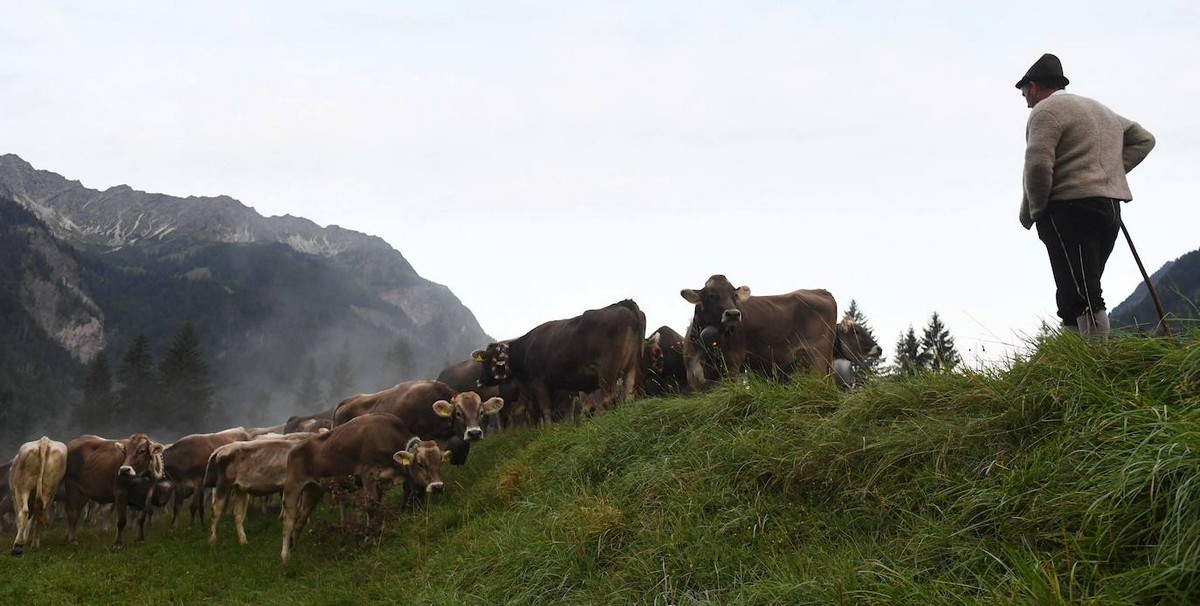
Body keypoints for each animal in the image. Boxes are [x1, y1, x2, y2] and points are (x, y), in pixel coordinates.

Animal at [280, 412, 451, 564]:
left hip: (313, 490)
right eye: (421, 464)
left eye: (440, 462)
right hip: (293, 486)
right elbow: (370, 506)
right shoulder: (368, 474)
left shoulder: (379, 482)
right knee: (289, 520)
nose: (437, 486)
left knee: (302, 518)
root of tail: (295, 448)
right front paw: (369, 536)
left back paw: (294, 548)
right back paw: (285, 556)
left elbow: (375, 505)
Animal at [470, 300, 648, 427]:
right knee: (628, 393)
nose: (479, 381)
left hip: (607, 368)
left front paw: (547, 431)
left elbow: (545, 409)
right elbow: (537, 412)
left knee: (607, 398)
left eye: (486, 360)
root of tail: (624, 303)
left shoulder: (539, 382)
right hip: (631, 366)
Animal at [681, 273, 840, 386]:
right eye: (711, 295)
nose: (733, 314)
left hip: (817, 358)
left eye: (734, 295)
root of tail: (820, 291)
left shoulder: (732, 361)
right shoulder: (693, 373)